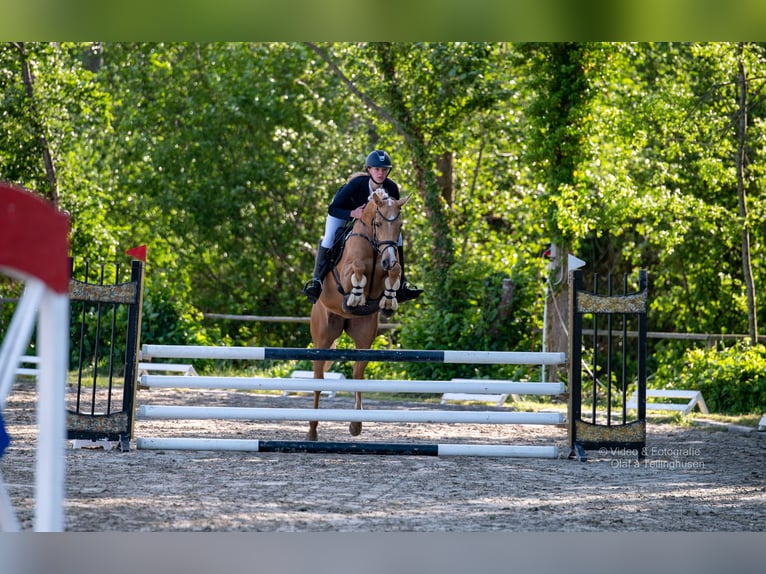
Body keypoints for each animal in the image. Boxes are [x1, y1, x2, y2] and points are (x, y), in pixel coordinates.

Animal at [308, 189, 412, 440]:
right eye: (377, 223)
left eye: (400, 225)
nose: (388, 259)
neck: (374, 247)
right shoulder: (345, 273)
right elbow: (357, 268)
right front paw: (355, 295)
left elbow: (394, 273)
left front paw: (390, 298)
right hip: (323, 335)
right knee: (318, 378)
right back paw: (312, 431)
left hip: (364, 333)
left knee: (358, 373)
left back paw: (356, 424)